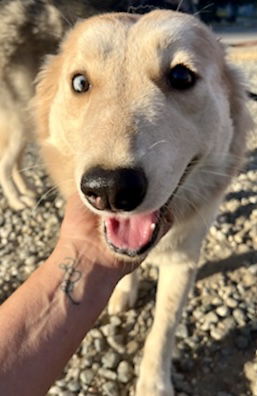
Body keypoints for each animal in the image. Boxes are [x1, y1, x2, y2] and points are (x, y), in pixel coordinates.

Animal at [32, 8, 252, 392]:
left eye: (181, 75)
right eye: (80, 83)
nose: (109, 189)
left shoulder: (183, 260)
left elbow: (163, 328)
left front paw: (153, 384)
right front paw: (122, 291)